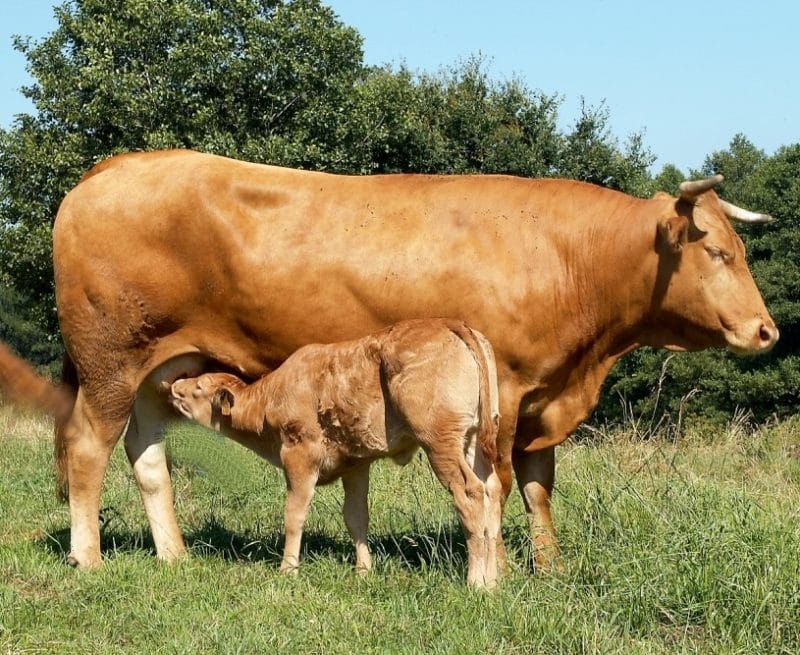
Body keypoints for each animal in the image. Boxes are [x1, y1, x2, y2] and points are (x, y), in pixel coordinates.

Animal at [169, 320, 504, 588]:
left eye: (198, 387)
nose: (175, 385)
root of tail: (449, 323)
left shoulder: (299, 455)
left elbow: (294, 514)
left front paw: (287, 569)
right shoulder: (356, 464)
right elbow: (356, 517)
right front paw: (364, 571)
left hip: (440, 442)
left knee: (470, 493)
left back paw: (476, 582)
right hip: (473, 440)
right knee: (492, 490)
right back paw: (493, 581)